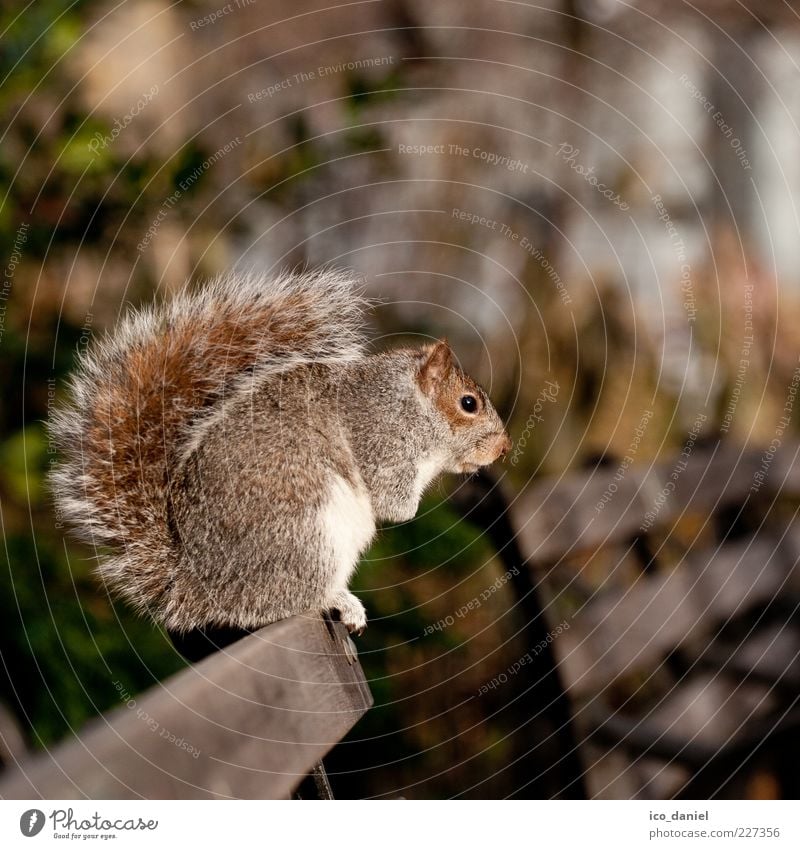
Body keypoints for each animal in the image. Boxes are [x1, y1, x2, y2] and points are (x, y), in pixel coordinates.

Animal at [48, 268, 512, 632]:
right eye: (468, 404)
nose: (504, 448)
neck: (406, 401)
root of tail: (199, 585)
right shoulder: (380, 443)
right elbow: (393, 503)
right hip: (309, 536)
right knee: (287, 601)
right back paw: (339, 602)